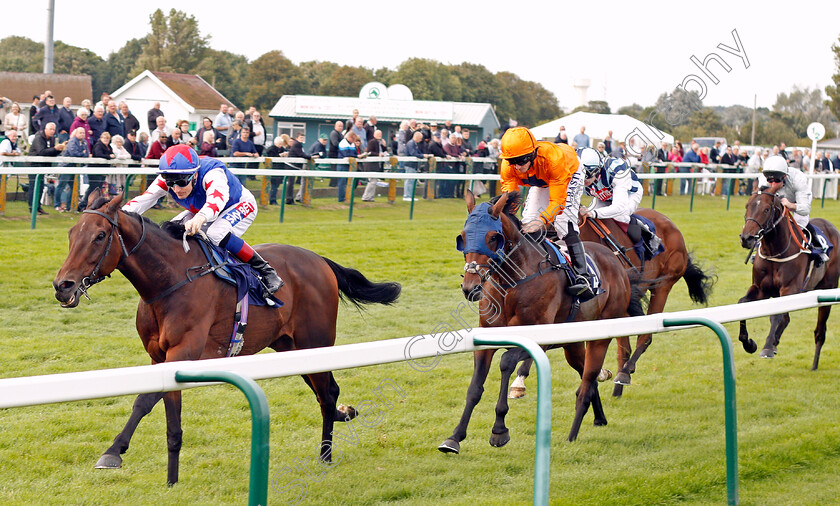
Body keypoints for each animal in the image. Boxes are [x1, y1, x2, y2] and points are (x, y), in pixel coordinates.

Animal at [52, 192, 400, 484]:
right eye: (71, 234)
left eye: (99, 236)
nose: (62, 286)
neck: (169, 281)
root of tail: (319, 260)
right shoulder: (159, 357)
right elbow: (166, 415)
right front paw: (171, 479)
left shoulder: (183, 352)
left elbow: (144, 401)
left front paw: (112, 452)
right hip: (289, 346)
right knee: (326, 392)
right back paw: (342, 417)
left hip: (315, 342)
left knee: (327, 393)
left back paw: (326, 454)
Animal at [508, 208, 712, 398]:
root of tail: (673, 227)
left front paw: (519, 381)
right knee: (625, 347)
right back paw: (617, 388)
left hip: (663, 286)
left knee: (645, 336)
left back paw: (625, 373)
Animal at [740, 187, 836, 368]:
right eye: (747, 206)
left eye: (766, 209)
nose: (746, 238)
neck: (775, 251)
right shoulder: (760, 289)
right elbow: (742, 304)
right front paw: (749, 344)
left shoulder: (789, 289)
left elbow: (779, 316)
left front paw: (768, 347)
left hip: (828, 289)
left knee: (820, 331)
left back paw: (813, 365)